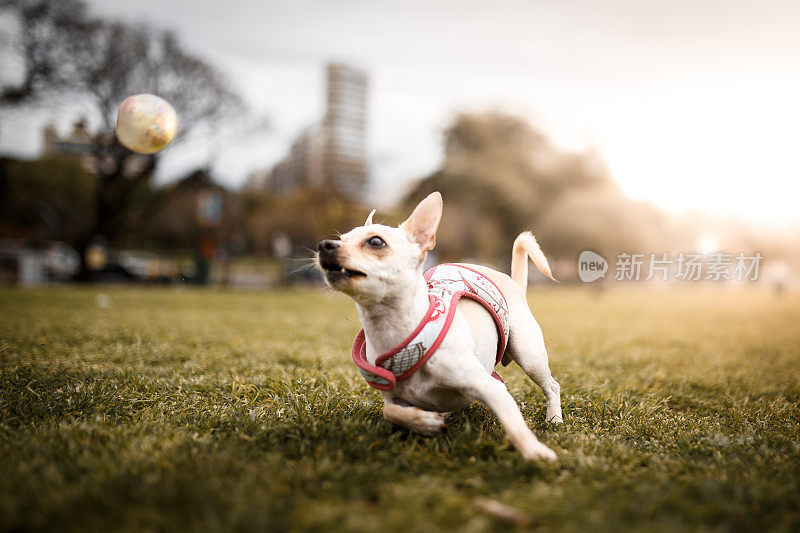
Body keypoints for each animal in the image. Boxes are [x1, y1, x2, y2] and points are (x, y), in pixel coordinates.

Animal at [318, 192, 564, 462]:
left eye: (375, 242)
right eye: (341, 238)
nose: (325, 245)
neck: (396, 332)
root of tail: (514, 283)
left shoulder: (491, 388)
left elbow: (514, 425)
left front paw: (535, 452)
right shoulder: (393, 399)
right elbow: (390, 412)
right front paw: (424, 421)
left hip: (528, 355)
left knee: (551, 385)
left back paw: (554, 418)